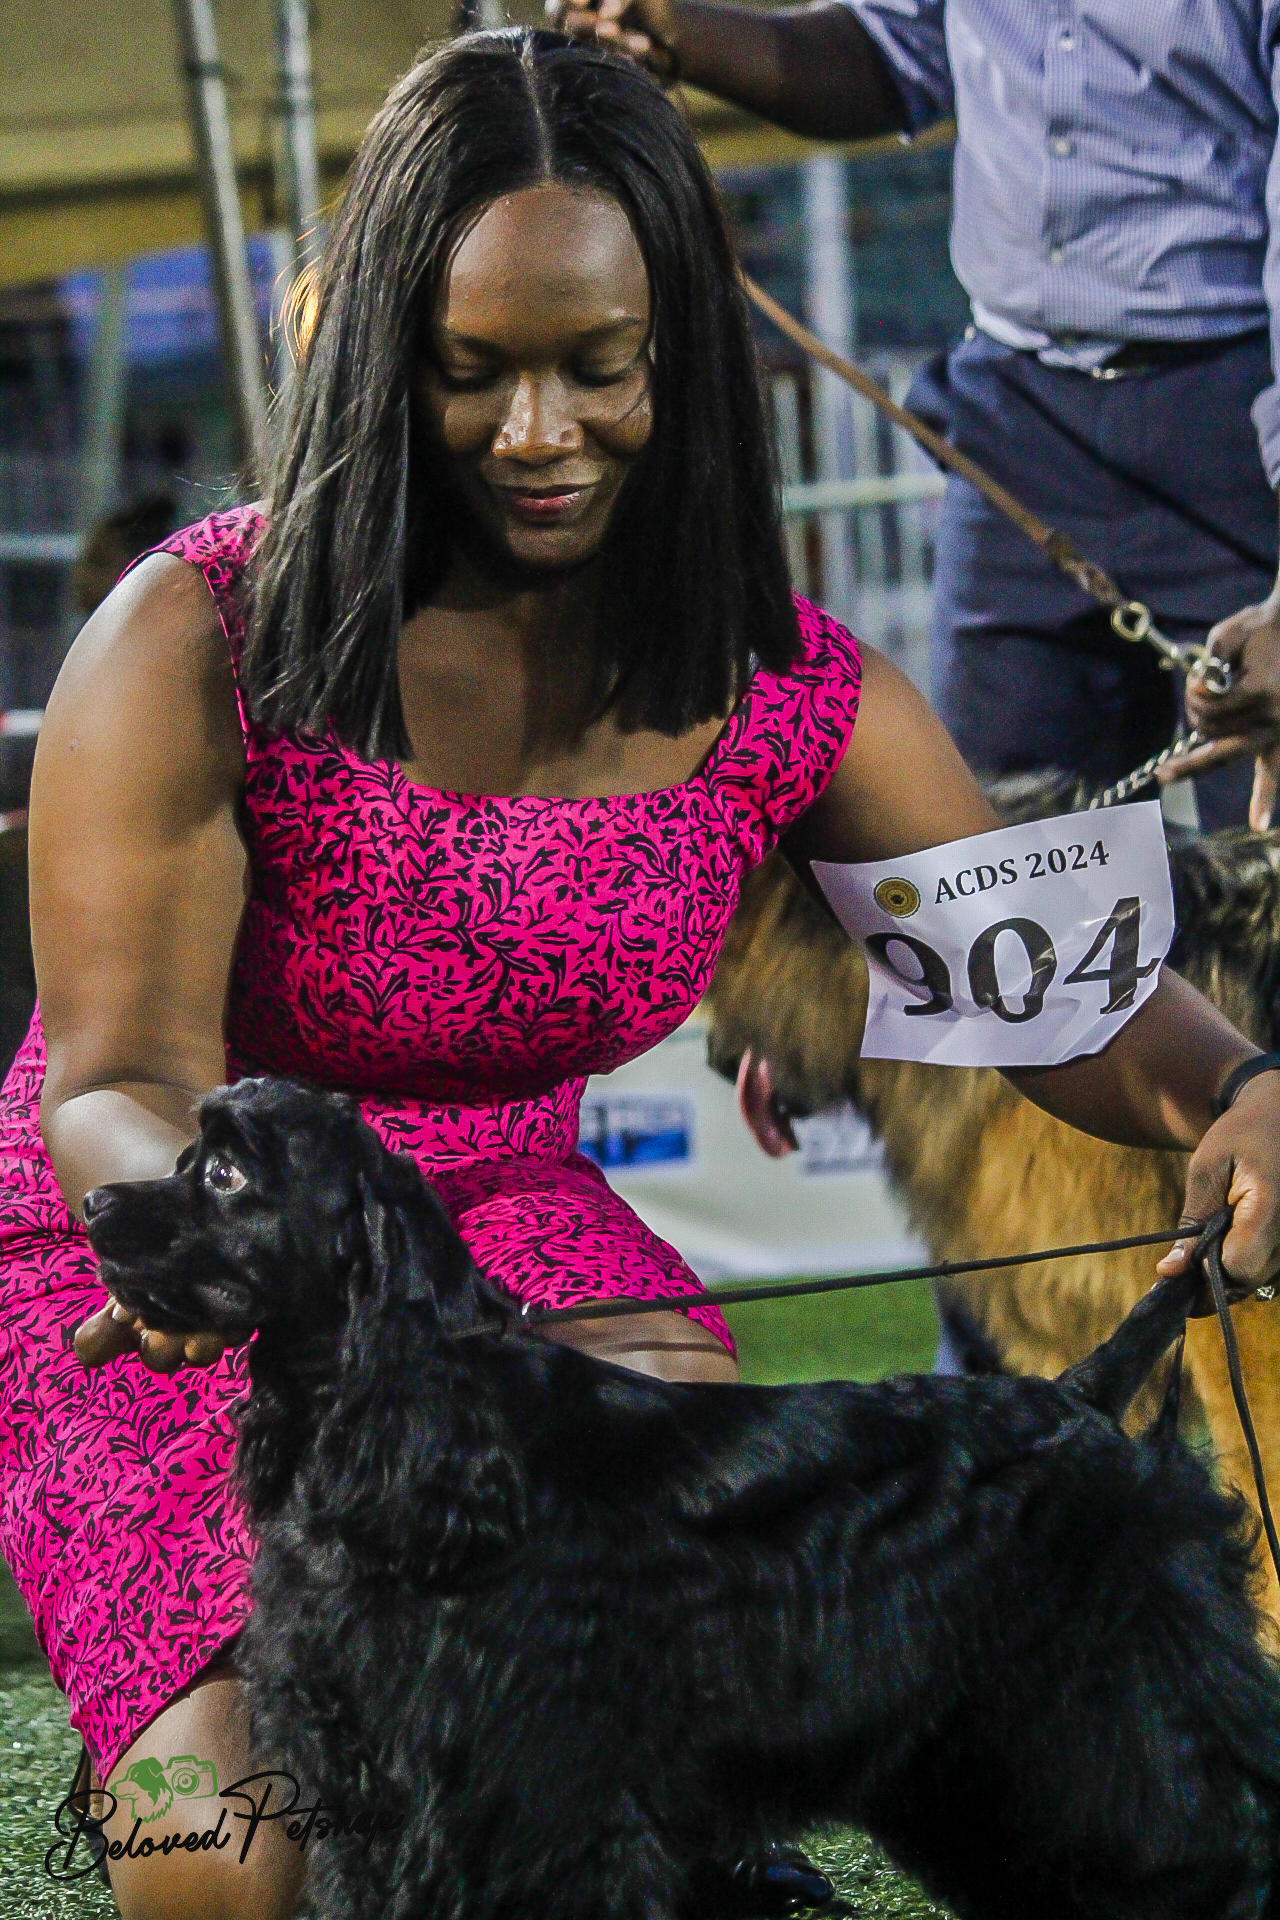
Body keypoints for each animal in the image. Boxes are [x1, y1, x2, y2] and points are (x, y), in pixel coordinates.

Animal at [82, 1077, 1280, 1920]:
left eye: (227, 1177)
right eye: (186, 1157)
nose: (91, 1200)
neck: (414, 1414)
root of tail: (1078, 1395)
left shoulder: (520, 1789)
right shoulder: (371, 1783)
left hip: (1112, 1711)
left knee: (1217, 1839)